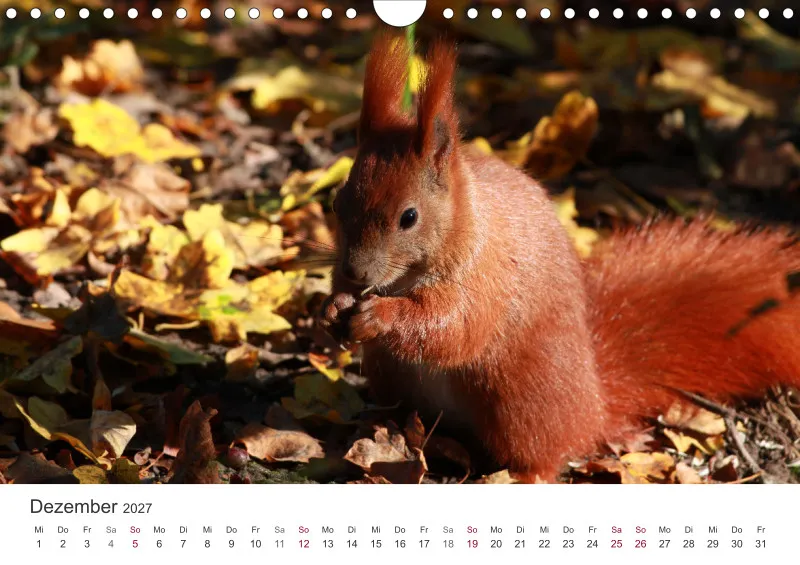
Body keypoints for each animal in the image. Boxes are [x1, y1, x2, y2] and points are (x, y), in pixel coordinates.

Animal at [318, 34, 800, 483]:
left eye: (409, 217)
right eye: (338, 203)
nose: (354, 271)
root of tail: (594, 405)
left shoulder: (486, 279)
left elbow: (456, 328)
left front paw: (379, 316)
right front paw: (333, 308)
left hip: (524, 402)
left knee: (545, 455)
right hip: (392, 378)